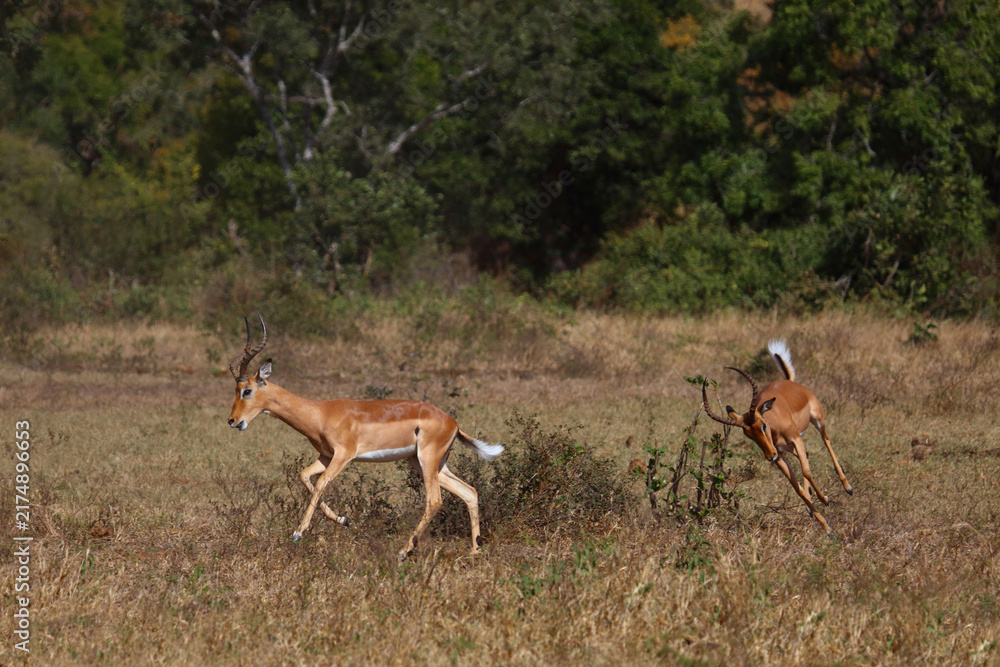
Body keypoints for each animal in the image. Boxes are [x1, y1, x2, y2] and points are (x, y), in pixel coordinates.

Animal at [226, 312, 504, 559]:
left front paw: (298, 533)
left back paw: (404, 551)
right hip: (426, 463)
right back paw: (474, 550)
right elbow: (305, 477)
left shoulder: (344, 456)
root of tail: (453, 422)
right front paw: (343, 520)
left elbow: (320, 484)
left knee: (435, 501)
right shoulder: (325, 456)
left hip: (427, 461)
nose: (232, 421)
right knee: (469, 491)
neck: (319, 413)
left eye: (247, 390)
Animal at [702, 340, 852, 533]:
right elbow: (796, 488)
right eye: (748, 435)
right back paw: (812, 507)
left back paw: (848, 487)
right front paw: (826, 527)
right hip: (788, 449)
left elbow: (806, 471)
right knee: (807, 457)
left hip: (818, 421)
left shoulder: (796, 439)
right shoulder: (780, 456)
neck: (775, 426)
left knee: (826, 440)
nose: (768, 456)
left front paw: (825, 499)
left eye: (763, 425)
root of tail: (791, 382)